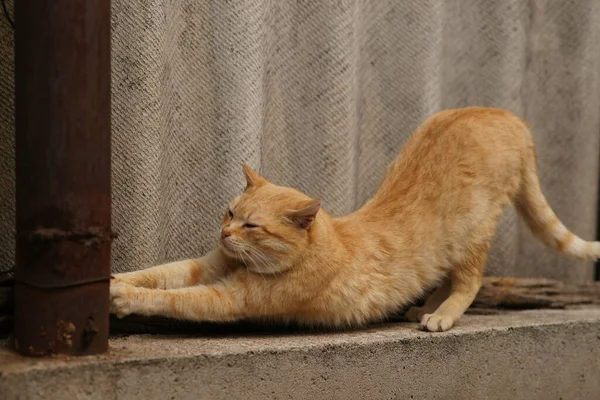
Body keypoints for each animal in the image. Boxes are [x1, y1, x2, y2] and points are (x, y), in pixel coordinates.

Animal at [109, 106, 600, 332]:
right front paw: (116, 279)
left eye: (253, 226)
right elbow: (160, 273)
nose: (225, 232)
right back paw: (424, 306)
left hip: (472, 236)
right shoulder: (206, 265)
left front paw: (125, 298)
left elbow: (175, 298)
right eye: (231, 212)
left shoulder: (230, 298)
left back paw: (441, 315)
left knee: (469, 282)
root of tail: (506, 114)